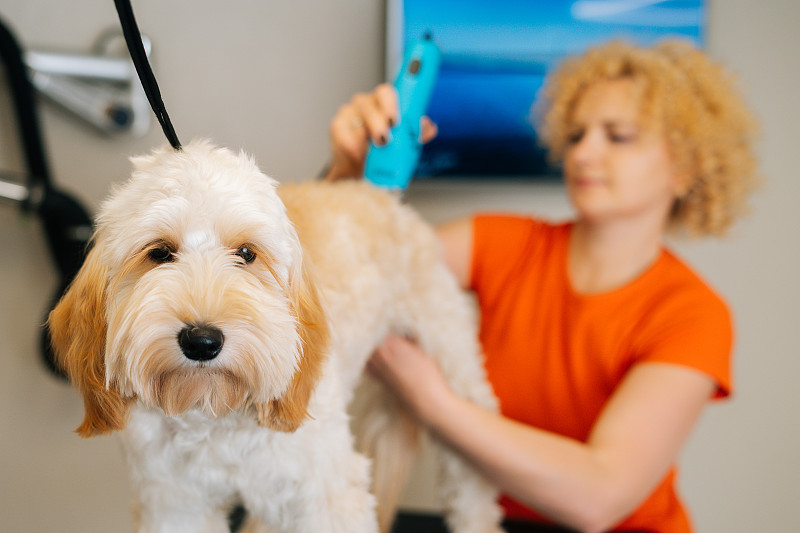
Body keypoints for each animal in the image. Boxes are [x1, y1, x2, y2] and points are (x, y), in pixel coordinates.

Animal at [48, 140, 500, 532]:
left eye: (247, 254)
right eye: (159, 252)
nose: (202, 341)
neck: (213, 415)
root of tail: (376, 193)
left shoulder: (327, 496)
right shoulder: (174, 503)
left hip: (451, 360)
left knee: (471, 486)